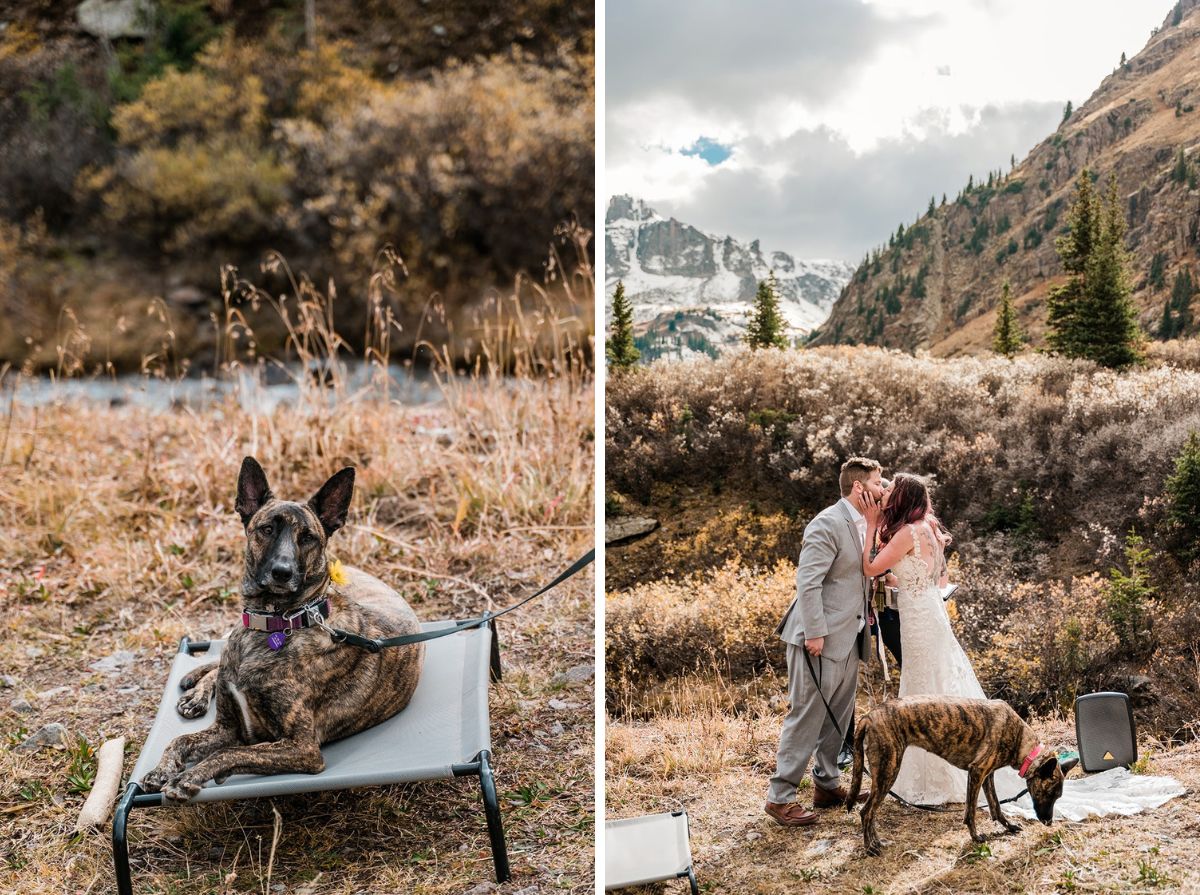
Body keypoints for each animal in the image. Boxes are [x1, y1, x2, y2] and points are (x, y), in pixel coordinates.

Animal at [141, 455, 427, 796]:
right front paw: (161, 768)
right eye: (266, 529)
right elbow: (180, 739)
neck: (270, 624)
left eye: (308, 537)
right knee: (218, 658)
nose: (282, 572)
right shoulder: (227, 726)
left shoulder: (301, 747)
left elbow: (231, 752)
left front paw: (190, 776)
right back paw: (196, 692)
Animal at [849, 695, 1065, 854]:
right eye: (1049, 794)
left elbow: (995, 807)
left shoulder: (987, 777)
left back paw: (877, 842)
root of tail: (868, 716)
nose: (1049, 822)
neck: (1021, 741)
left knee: (871, 812)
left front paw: (1008, 826)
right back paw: (870, 848)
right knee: (866, 811)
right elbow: (971, 811)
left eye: (1057, 797)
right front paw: (976, 837)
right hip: (888, 772)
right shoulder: (977, 772)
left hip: (884, 775)